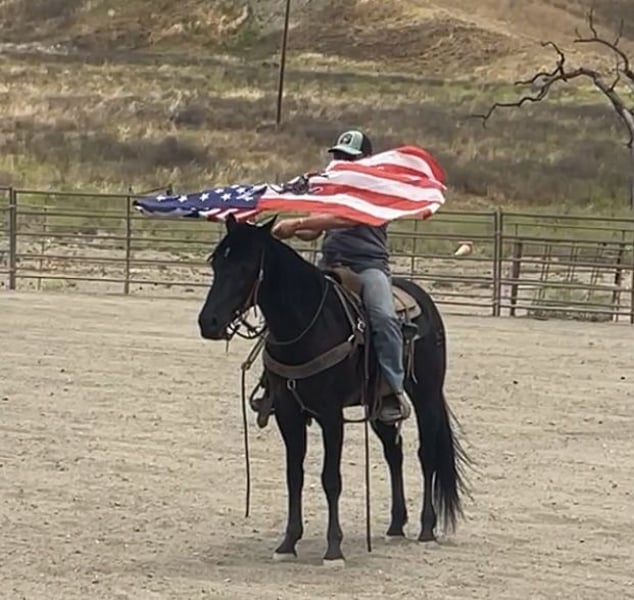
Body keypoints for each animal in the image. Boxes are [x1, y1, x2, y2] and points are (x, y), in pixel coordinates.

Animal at [197, 213, 469, 566]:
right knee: (393, 452)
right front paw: (288, 543)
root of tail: (422, 298)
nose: (209, 322)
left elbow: (330, 479)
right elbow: (294, 476)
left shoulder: (330, 415)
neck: (305, 324)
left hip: (427, 396)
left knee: (427, 454)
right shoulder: (288, 413)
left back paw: (426, 528)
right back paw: (396, 526)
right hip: (379, 404)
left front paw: (333, 549)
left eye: (245, 267)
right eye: (216, 262)